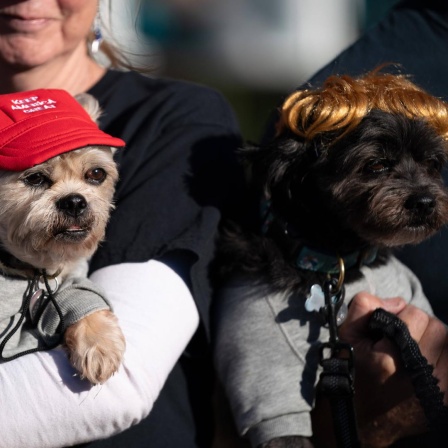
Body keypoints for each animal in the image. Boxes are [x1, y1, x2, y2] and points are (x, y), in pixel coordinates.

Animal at [0, 88, 126, 384]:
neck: (33, 270)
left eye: (96, 173)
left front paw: (99, 342)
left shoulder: (67, 275)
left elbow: (78, 294)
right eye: (35, 178)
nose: (75, 201)